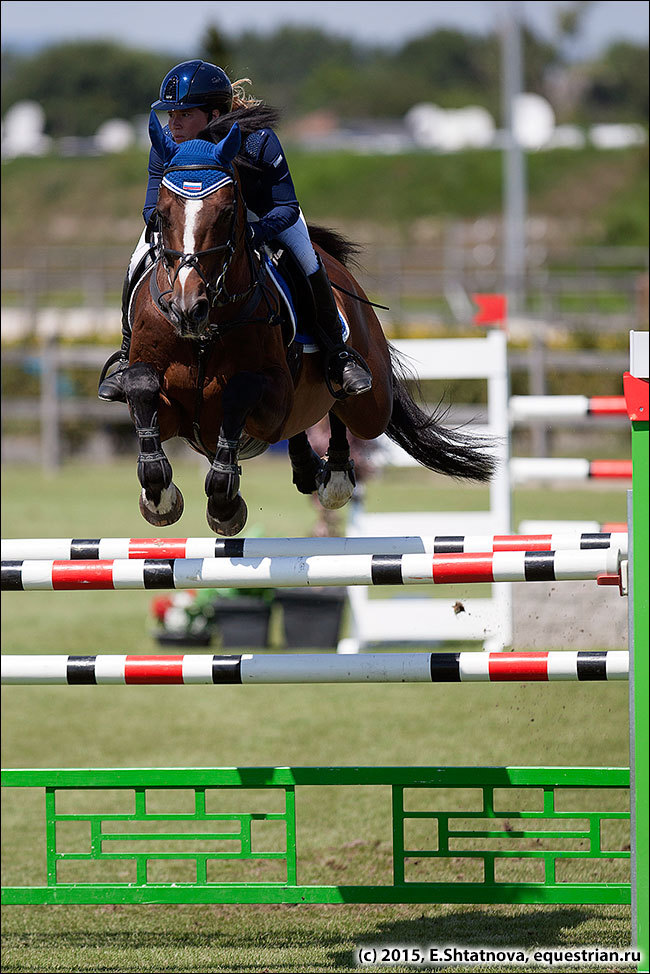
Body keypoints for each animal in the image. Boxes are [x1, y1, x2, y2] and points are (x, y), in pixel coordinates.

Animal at [119, 116, 492, 540]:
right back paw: (308, 466)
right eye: (162, 215)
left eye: (227, 213)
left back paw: (338, 464)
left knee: (346, 407)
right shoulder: (169, 411)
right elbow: (141, 385)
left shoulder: (274, 402)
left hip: (372, 405)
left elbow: (239, 391)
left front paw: (224, 503)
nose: (186, 308)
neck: (206, 331)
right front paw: (158, 494)